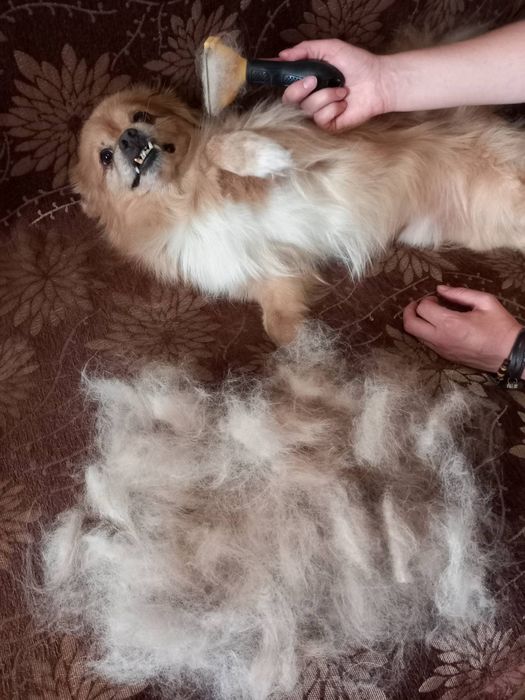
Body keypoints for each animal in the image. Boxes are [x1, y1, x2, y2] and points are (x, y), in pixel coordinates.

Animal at [72, 85, 525, 344]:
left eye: (142, 116)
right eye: (105, 157)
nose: (129, 138)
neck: (184, 195)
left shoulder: (308, 147)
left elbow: (221, 146)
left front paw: (256, 156)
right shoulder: (270, 276)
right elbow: (278, 329)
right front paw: (304, 355)